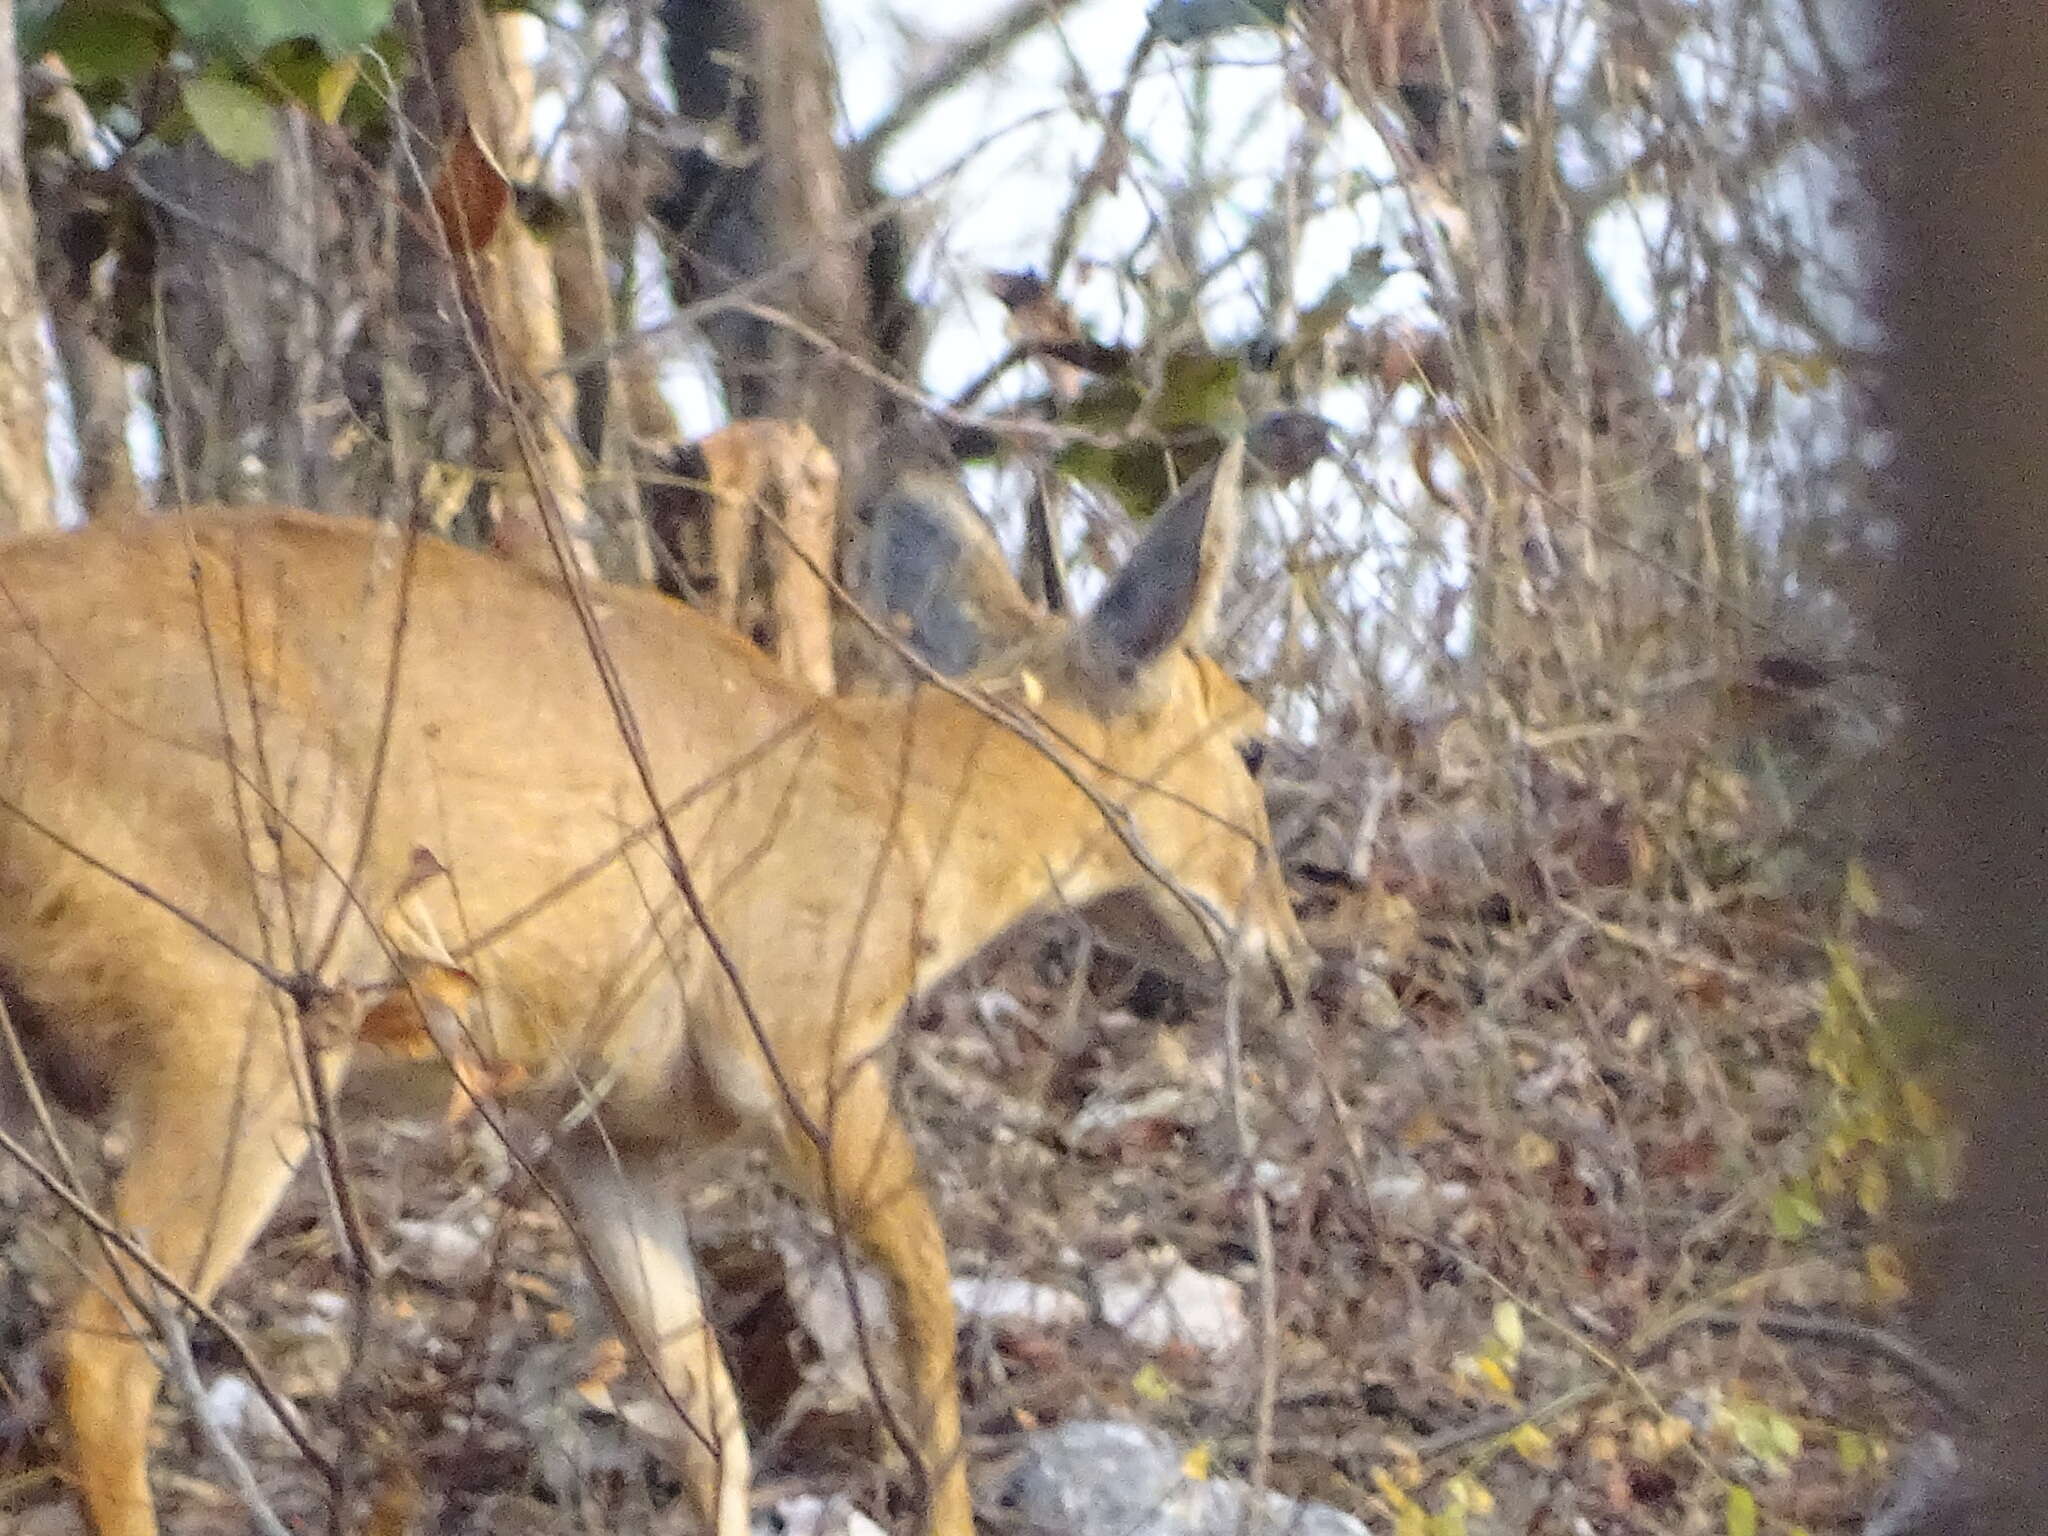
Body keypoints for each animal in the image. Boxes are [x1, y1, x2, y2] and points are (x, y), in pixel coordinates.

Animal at [0, 444, 1310, 1536]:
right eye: (1251, 743)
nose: (1287, 957)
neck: (904, 823)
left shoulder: (602, 1134)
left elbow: (706, 1413)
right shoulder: (797, 1048)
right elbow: (925, 1306)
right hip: (240, 1023)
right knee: (98, 1353)